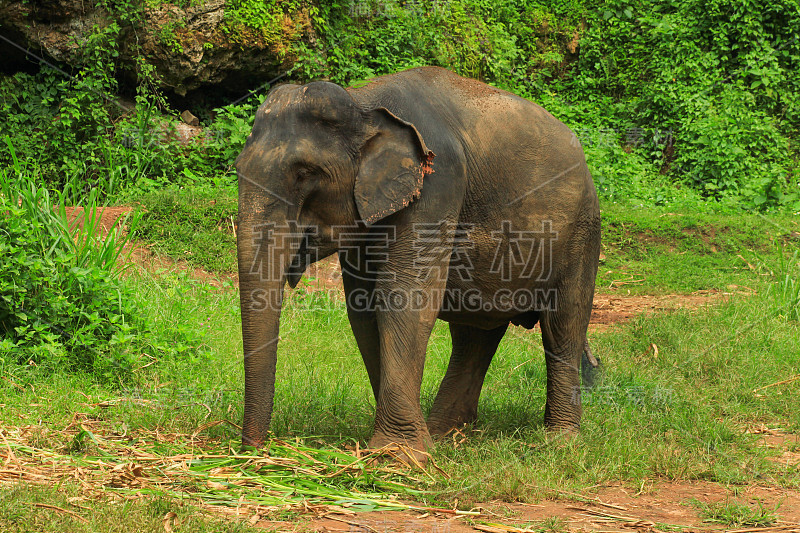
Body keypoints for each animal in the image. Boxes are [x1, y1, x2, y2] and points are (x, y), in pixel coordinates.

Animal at [236, 65, 600, 458]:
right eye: (237, 169)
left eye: (305, 174)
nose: (255, 450)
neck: (363, 101)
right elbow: (364, 310)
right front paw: (403, 446)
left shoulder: (437, 184)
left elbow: (404, 298)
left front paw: (398, 455)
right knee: (475, 334)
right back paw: (446, 433)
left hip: (582, 231)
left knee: (564, 324)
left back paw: (559, 440)